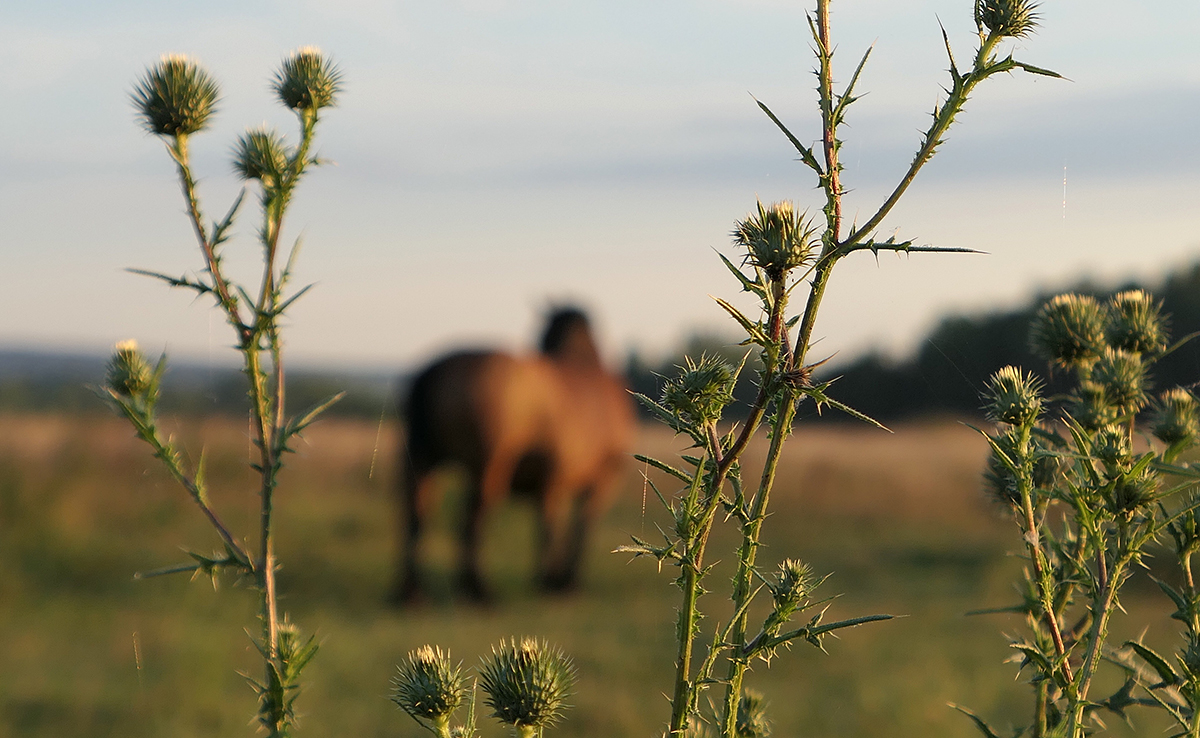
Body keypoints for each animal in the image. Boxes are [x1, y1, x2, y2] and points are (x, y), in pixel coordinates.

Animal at [391, 309, 638, 602]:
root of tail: (437, 370)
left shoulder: (552, 482)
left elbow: (548, 525)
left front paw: (549, 579)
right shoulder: (599, 482)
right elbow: (574, 528)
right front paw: (561, 581)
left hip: (421, 462)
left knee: (416, 513)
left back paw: (411, 592)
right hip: (488, 467)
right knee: (472, 518)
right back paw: (478, 589)